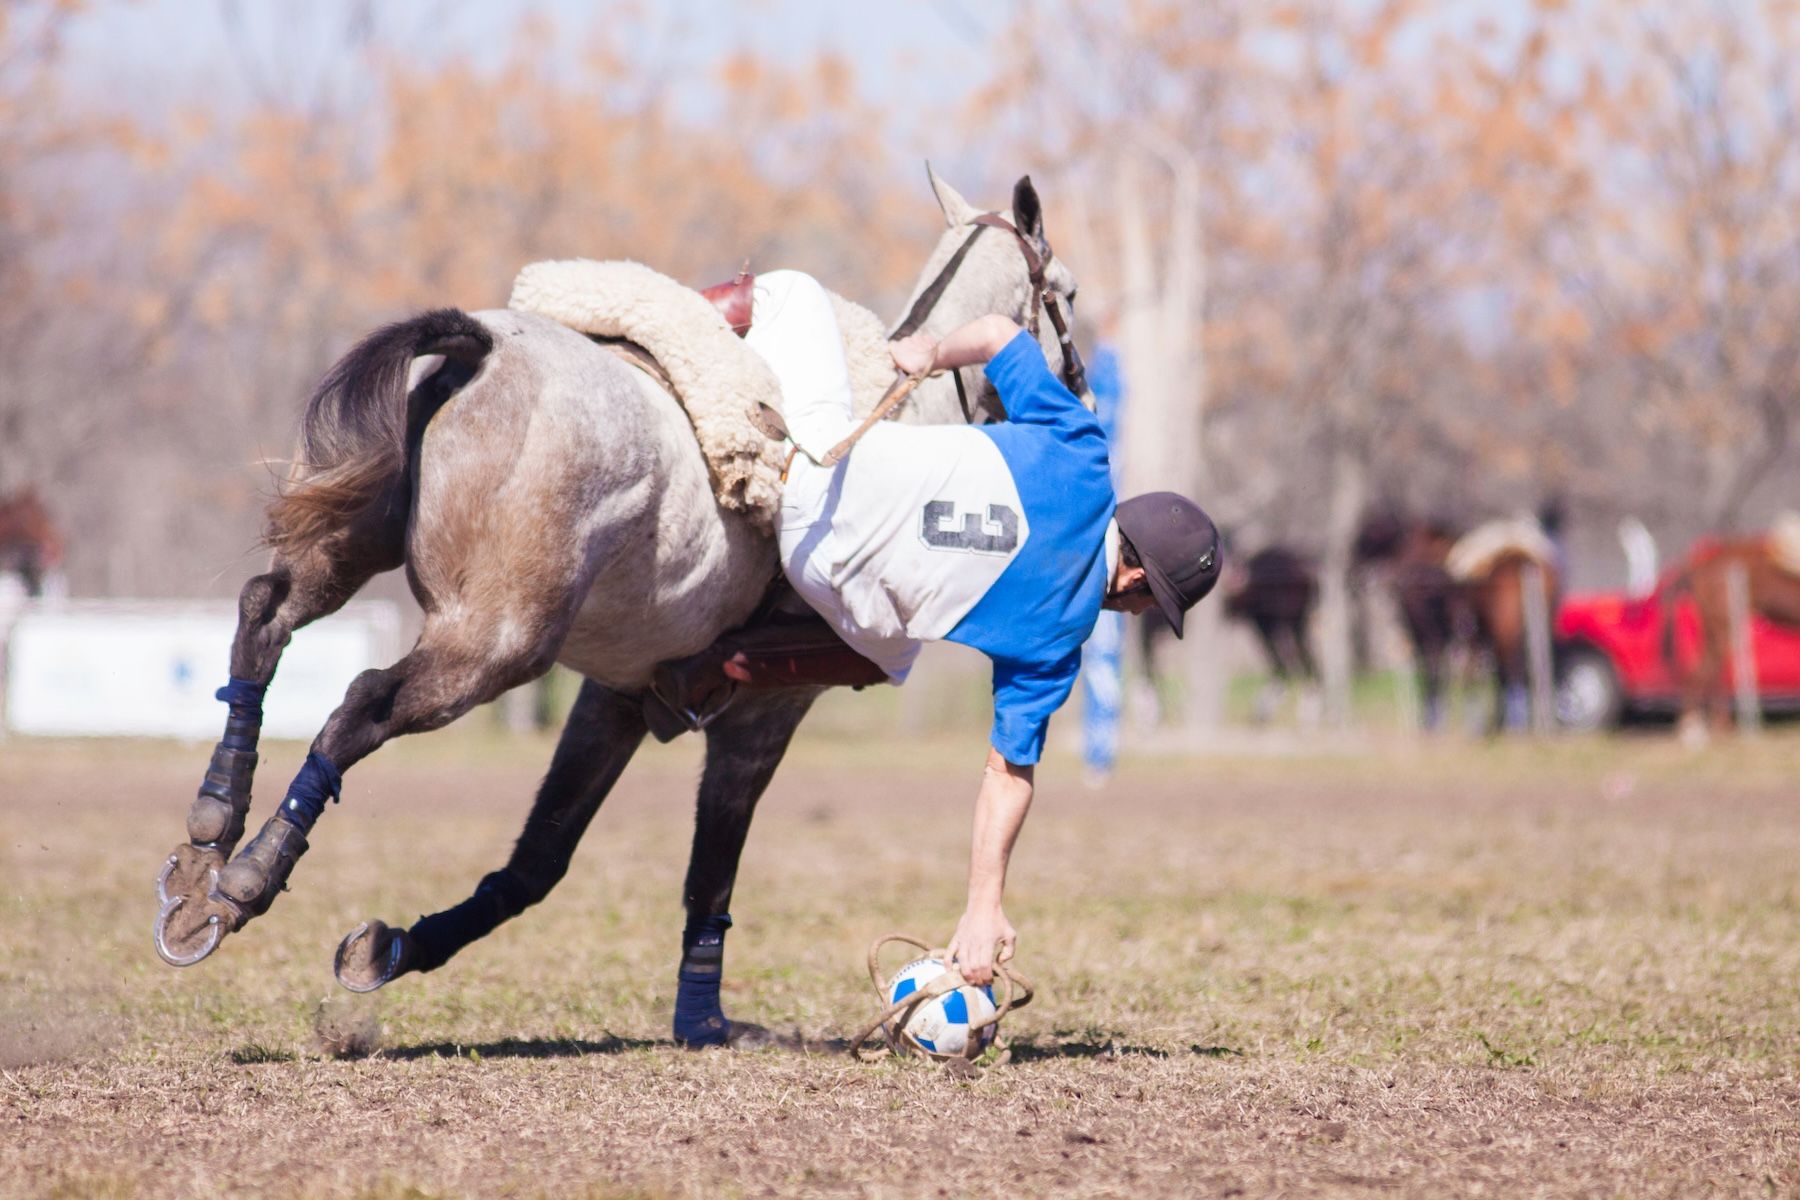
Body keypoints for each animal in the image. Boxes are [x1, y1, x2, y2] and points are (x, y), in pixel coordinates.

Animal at [150, 168, 1088, 1047]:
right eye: (1070, 295)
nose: (1081, 388)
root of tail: (483, 347)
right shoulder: (767, 710)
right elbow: (712, 869)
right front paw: (705, 1023)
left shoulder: (619, 695)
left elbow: (541, 859)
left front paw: (395, 947)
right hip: (497, 641)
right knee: (362, 702)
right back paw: (246, 879)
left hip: (359, 544)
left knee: (265, 615)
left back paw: (211, 832)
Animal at [1660, 532, 1800, 738]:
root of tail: (1697, 569)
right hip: (1722, 627)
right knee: (1703, 673)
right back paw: (1694, 728)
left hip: (1716, 630)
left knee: (1711, 673)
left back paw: (1718, 724)